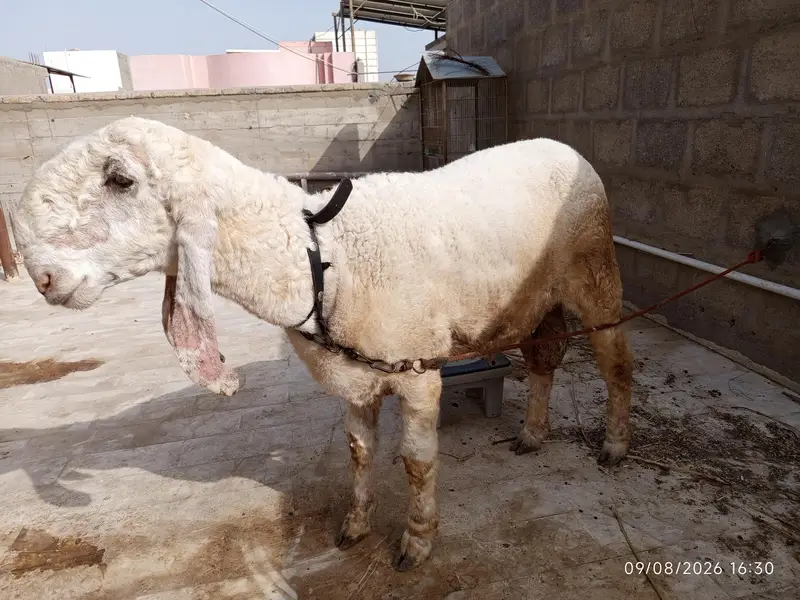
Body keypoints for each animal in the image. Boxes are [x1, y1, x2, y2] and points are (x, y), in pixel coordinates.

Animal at [13, 116, 633, 571]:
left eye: (120, 179)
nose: (41, 277)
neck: (321, 257)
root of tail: (562, 146)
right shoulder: (358, 374)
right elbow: (359, 452)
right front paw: (355, 526)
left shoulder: (417, 371)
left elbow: (416, 461)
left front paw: (417, 541)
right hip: (538, 299)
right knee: (544, 359)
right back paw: (532, 433)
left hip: (596, 271)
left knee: (615, 364)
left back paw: (614, 445)